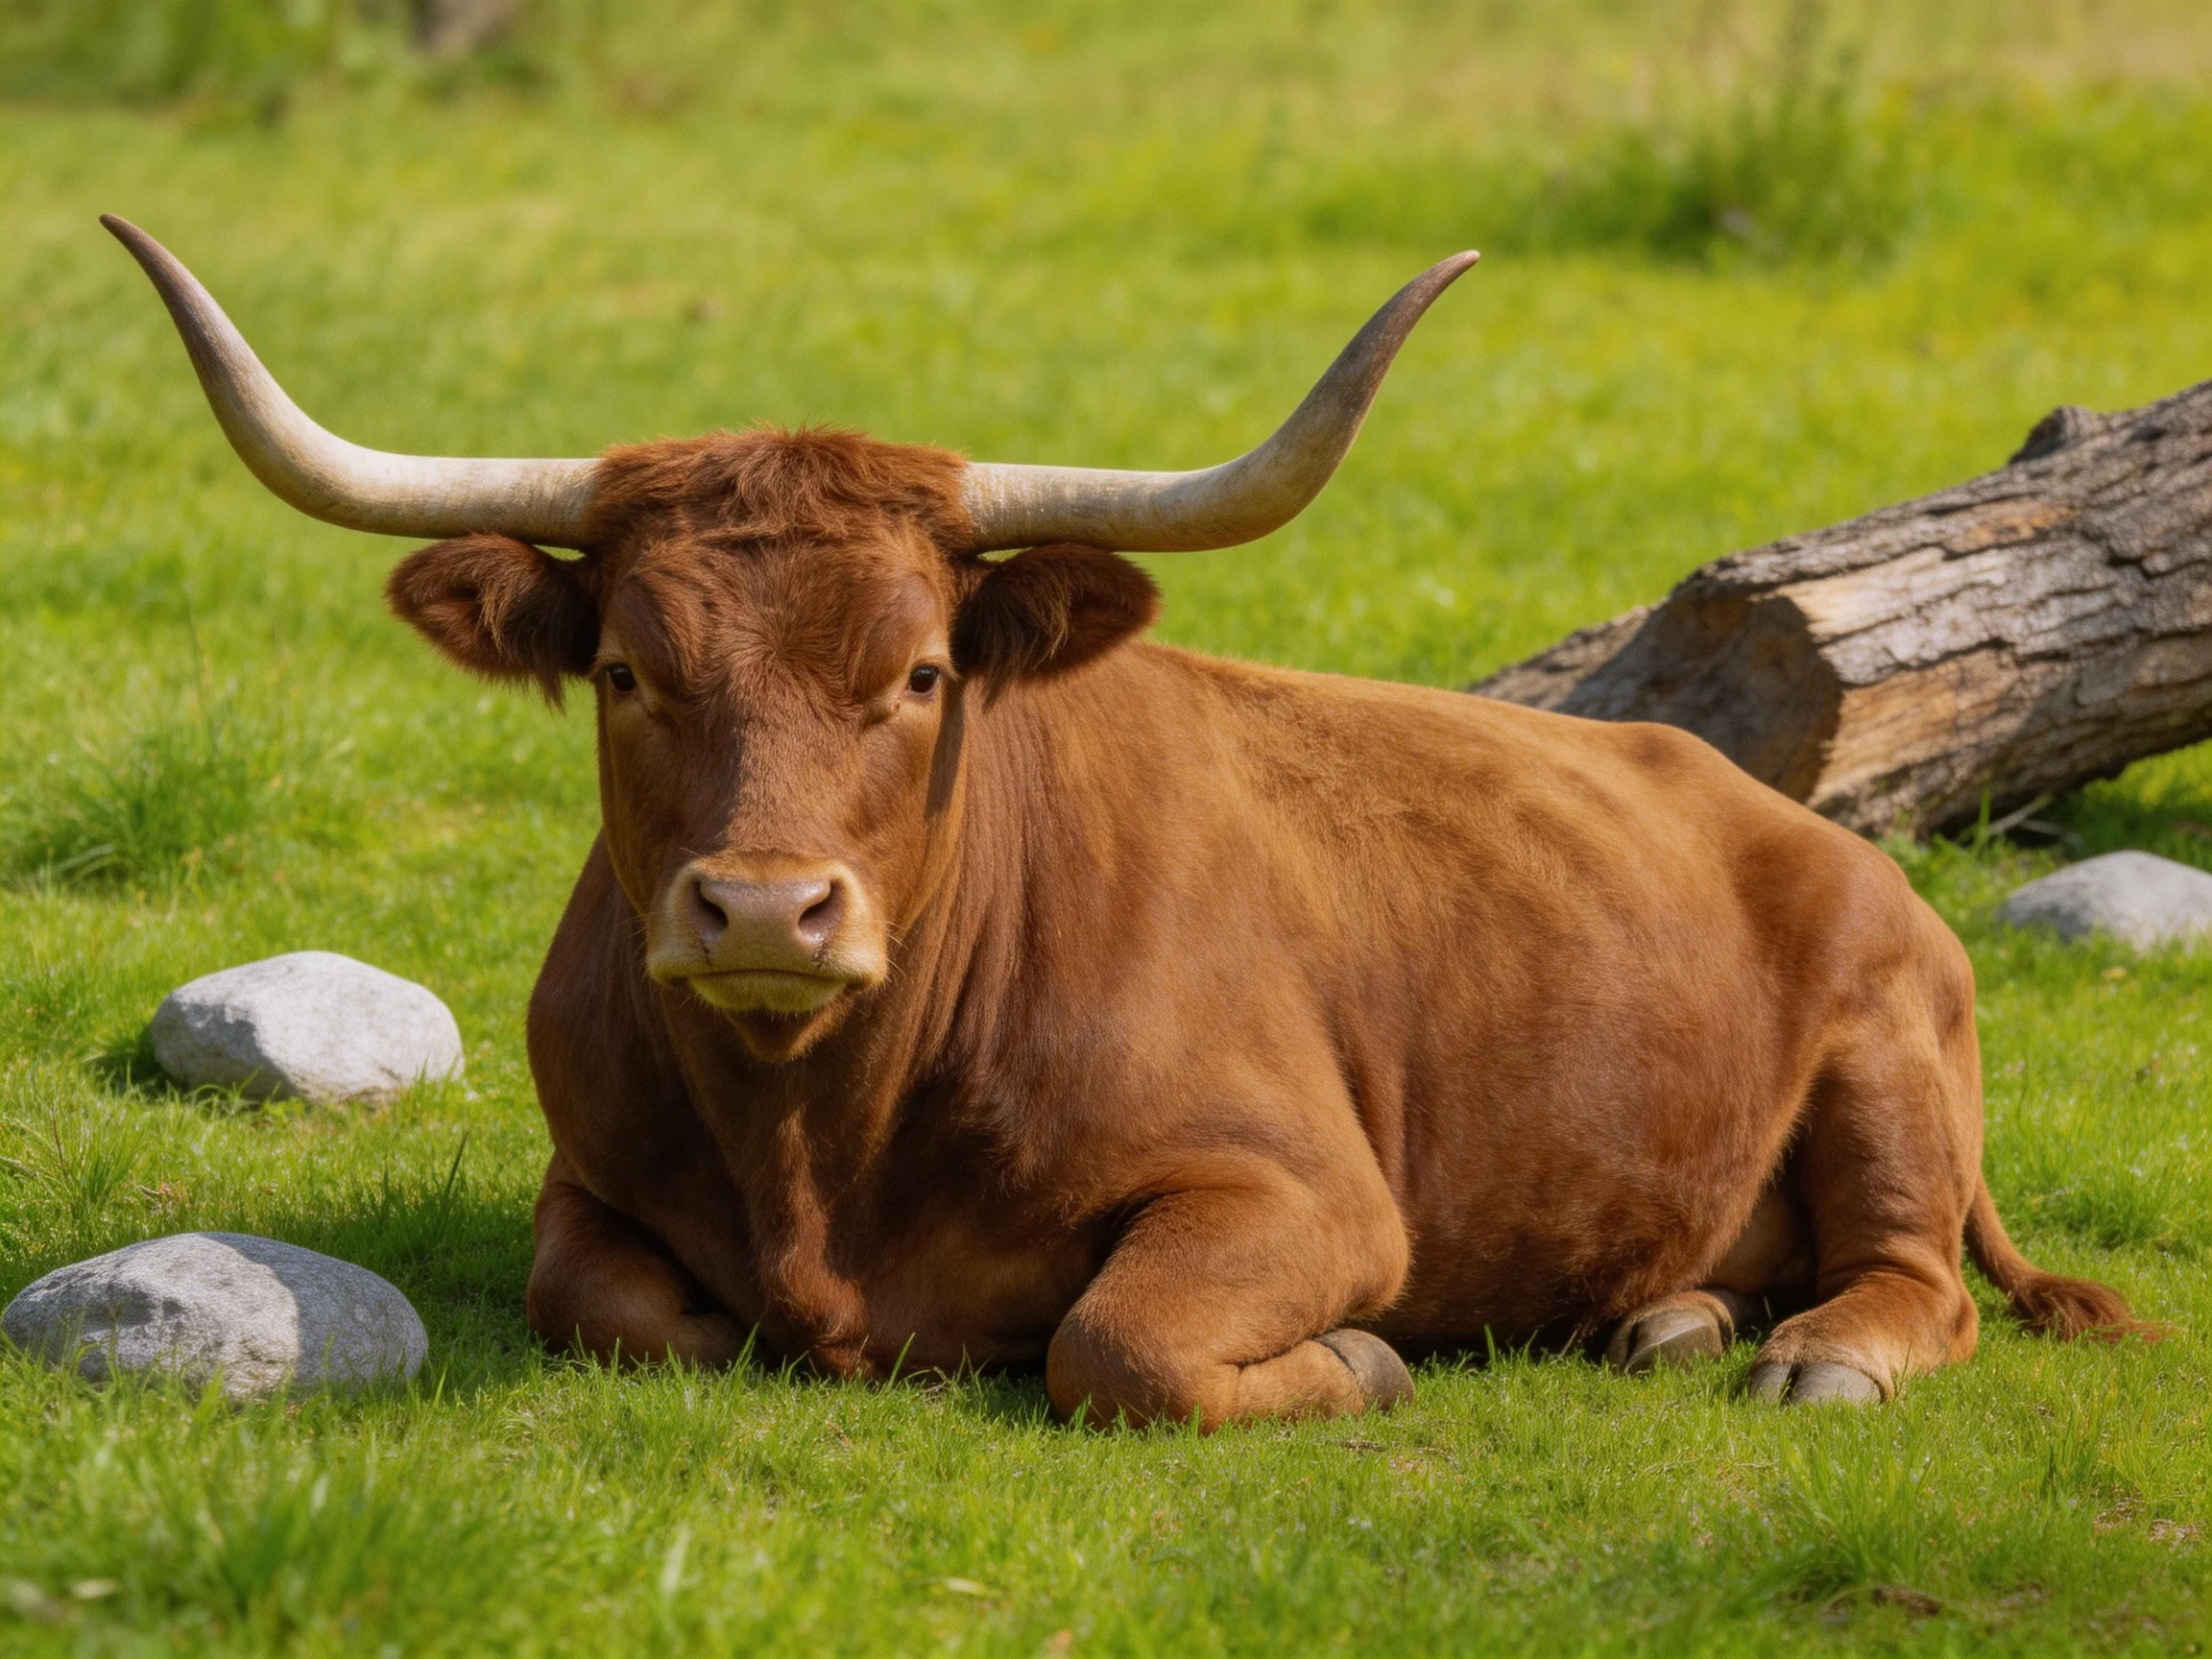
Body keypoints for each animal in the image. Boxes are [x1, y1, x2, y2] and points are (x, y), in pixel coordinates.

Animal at [107, 214, 2140, 1426]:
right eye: (620, 668)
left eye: (923, 671)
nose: (761, 912)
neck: (820, 1136)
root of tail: (1775, 810)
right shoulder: (587, 1183)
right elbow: (613, 1303)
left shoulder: (1299, 1190)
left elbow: (1120, 1340)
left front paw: (1359, 1359)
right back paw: (1669, 1317)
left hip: (1886, 1059)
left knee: (1910, 1274)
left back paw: (1807, 1357)